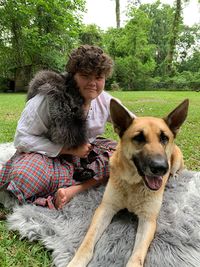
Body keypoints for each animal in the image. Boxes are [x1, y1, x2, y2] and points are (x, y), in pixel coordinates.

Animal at [67, 99, 189, 267]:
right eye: (139, 138)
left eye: (164, 138)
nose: (160, 168)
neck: (133, 183)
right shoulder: (105, 208)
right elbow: (87, 242)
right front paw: (76, 261)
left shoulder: (148, 220)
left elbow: (137, 256)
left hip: (176, 161)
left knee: (177, 170)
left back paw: (173, 177)